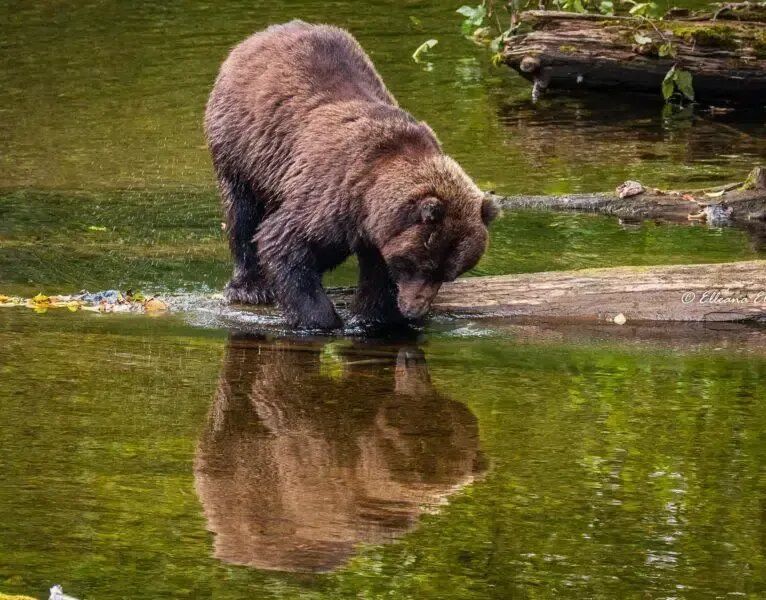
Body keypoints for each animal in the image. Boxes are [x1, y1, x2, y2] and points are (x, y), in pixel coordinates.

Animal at [206, 21, 498, 328]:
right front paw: (321, 318)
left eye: (450, 273)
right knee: (242, 213)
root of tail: (261, 35)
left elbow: (377, 273)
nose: (415, 310)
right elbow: (284, 241)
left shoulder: (374, 226)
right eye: (422, 265)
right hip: (243, 145)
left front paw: (374, 315)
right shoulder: (331, 190)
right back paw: (249, 286)